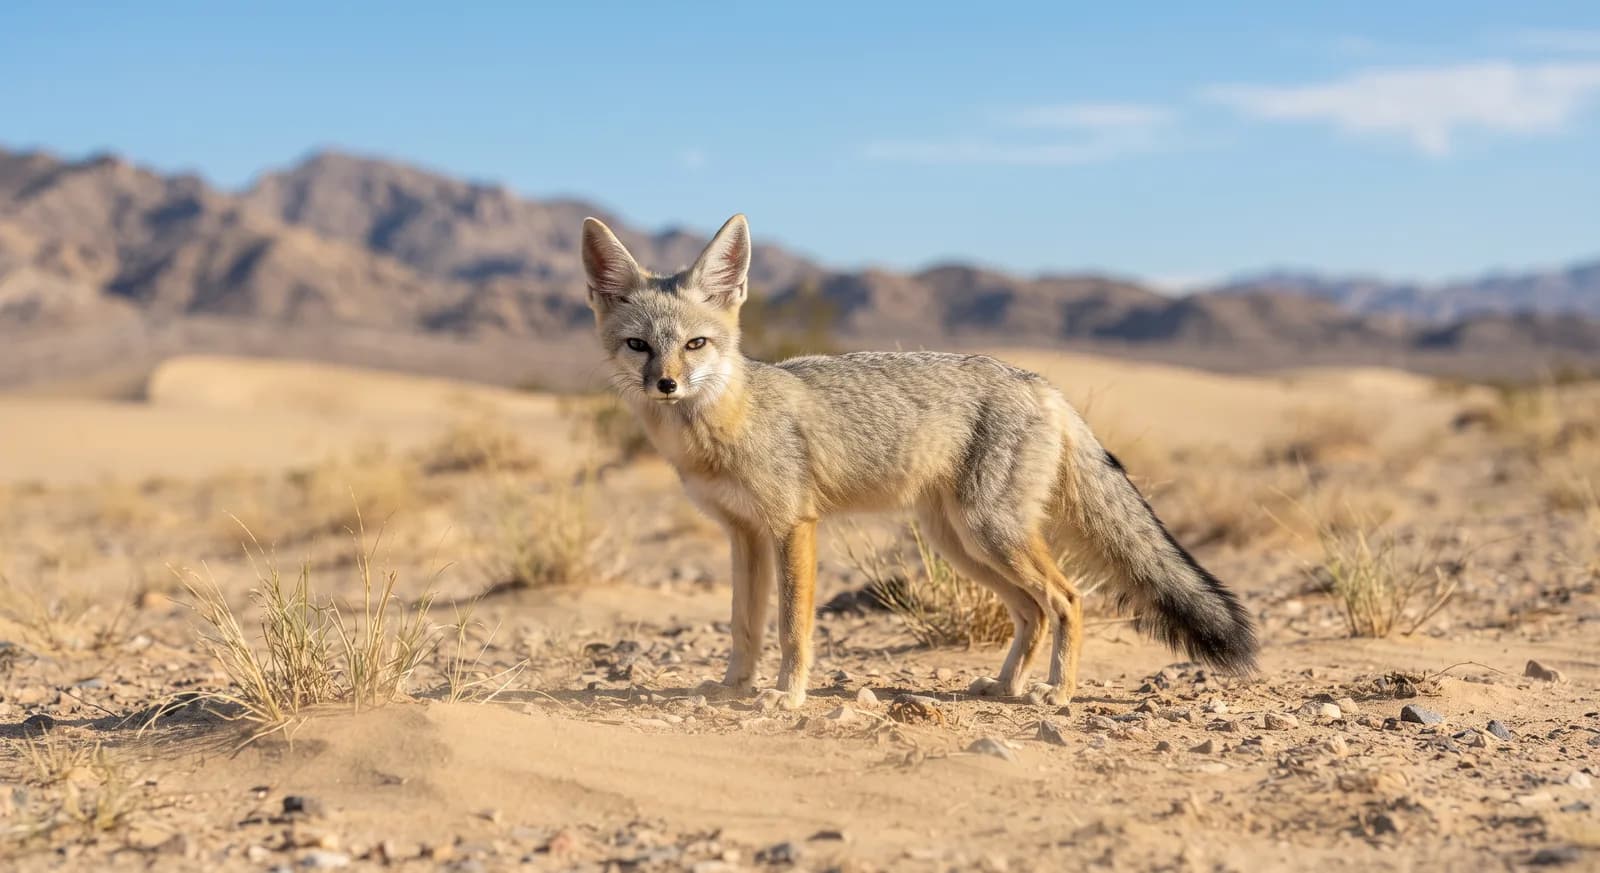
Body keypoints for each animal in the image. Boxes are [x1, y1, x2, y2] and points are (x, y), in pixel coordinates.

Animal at [580, 213, 1258, 710]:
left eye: (696, 344)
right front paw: (733, 687)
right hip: (961, 543)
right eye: (639, 345)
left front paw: (785, 696)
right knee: (1032, 611)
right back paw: (1004, 686)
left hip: (991, 534)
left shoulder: (792, 527)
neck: (723, 425)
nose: (666, 384)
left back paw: (1056, 692)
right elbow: (744, 625)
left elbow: (792, 626)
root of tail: (1042, 384)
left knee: (1065, 599)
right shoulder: (742, 535)